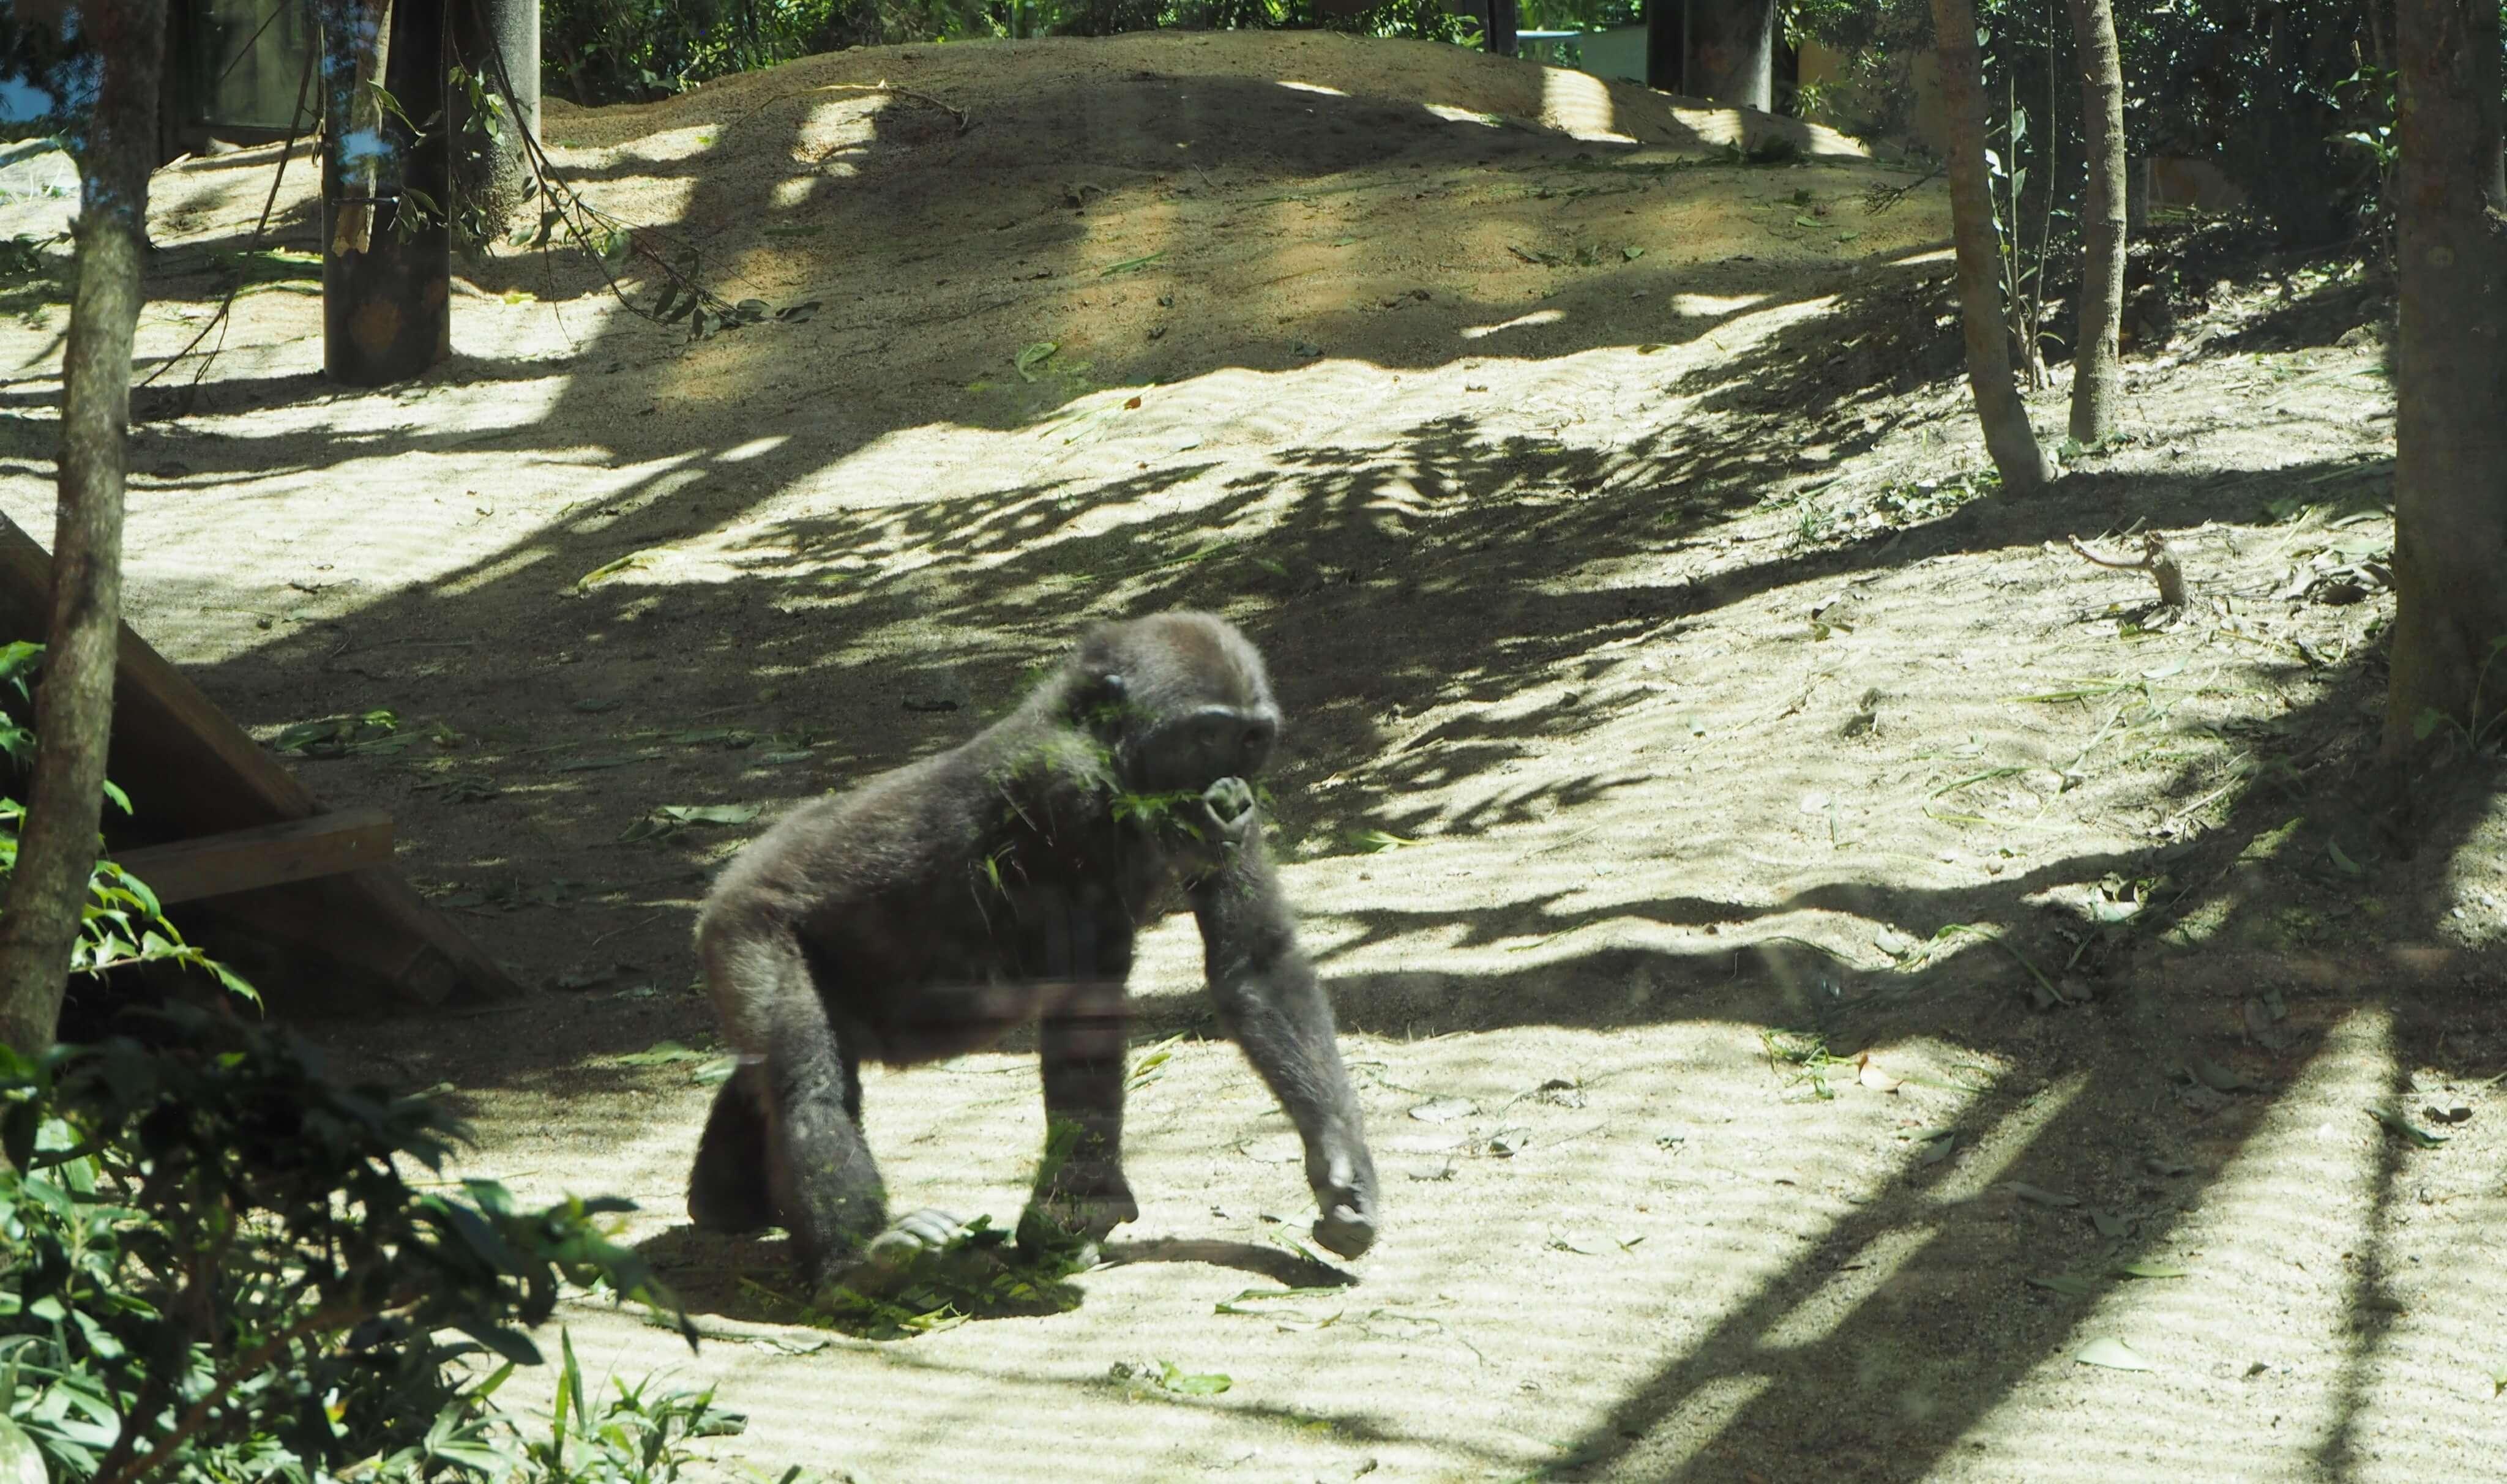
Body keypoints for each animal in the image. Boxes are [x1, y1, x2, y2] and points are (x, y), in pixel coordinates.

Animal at [687, 609, 1383, 1293]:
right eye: (1207, 737)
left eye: (1251, 740)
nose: (1234, 792)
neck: (1100, 740)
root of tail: (734, 870)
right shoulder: (1062, 792)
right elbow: (1085, 1007)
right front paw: (1080, 1209)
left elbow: (1255, 963)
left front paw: (1341, 1170)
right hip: (746, 921)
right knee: (805, 1083)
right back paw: (854, 1263)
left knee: (775, 1073)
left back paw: (725, 1202)